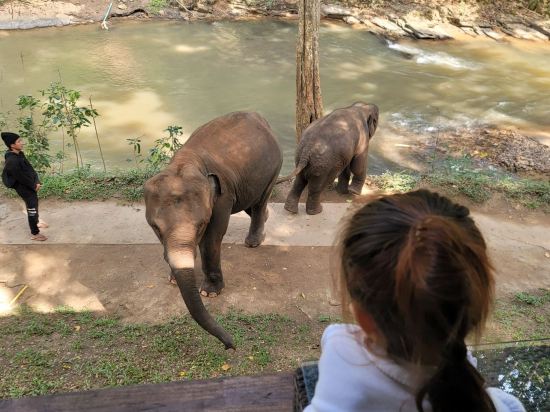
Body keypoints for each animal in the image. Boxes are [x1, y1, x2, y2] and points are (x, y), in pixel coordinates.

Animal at [144, 112, 282, 348]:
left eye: (202, 224)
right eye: (155, 227)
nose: (231, 345)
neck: (186, 161)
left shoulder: (222, 198)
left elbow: (213, 237)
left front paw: (209, 293)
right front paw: (173, 279)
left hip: (274, 169)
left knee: (260, 200)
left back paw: (253, 242)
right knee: (252, 204)